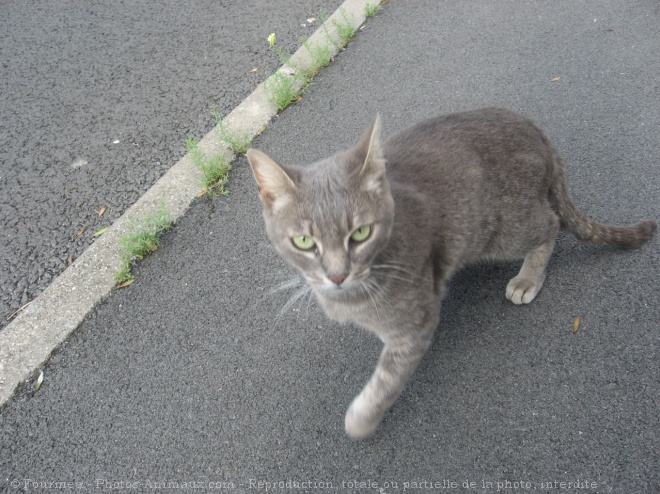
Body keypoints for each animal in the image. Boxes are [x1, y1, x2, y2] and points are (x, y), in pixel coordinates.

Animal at [246, 106, 656, 438]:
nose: (337, 275)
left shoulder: (416, 321)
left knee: (552, 223)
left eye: (360, 233)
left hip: (503, 231)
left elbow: (387, 379)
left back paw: (528, 278)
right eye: (303, 241)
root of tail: (534, 129)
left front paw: (361, 419)